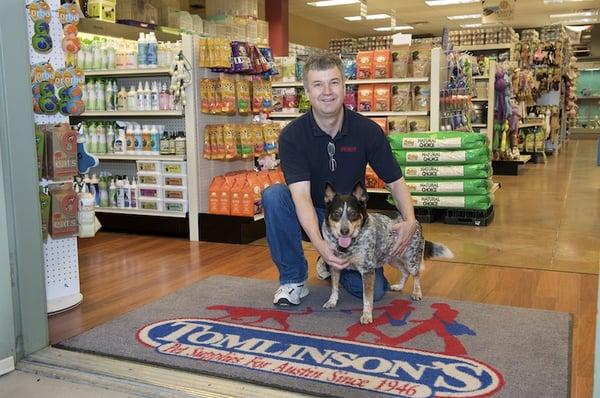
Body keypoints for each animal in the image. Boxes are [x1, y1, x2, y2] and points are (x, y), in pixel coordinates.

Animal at [322, 180, 452, 324]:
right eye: (336, 213)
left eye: (353, 214)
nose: (344, 231)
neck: (349, 246)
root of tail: (415, 221)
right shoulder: (334, 266)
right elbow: (334, 287)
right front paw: (332, 301)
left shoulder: (367, 271)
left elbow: (367, 298)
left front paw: (367, 315)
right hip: (392, 258)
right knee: (405, 272)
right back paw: (399, 286)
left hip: (411, 260)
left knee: (416, 275)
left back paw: (417, 293)